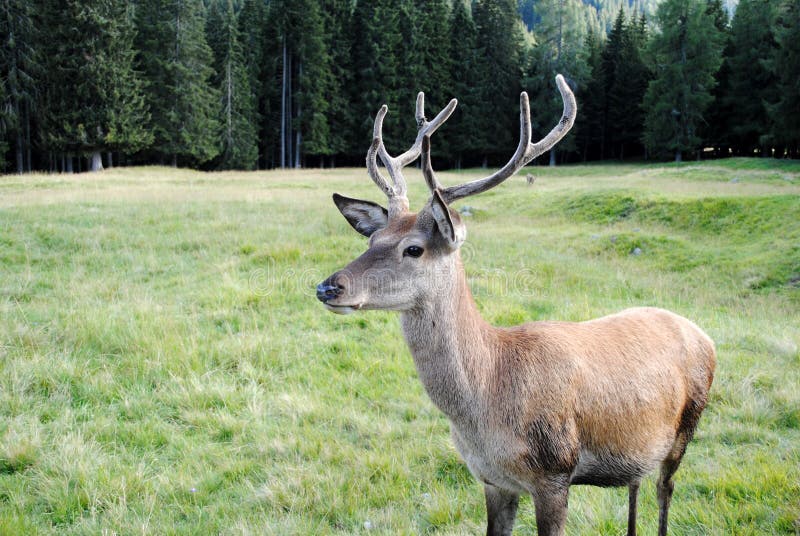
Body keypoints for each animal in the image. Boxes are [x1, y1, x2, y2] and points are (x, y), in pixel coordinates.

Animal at [316, 76, 716, 536]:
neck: (487, 403)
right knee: (636, 482)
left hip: (687, 427)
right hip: (638, 446)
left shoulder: (555, 473)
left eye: (413, 248)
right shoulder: (491, 479)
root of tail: (705, 336)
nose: (329, 286)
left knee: (665, 489)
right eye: (372, 240)